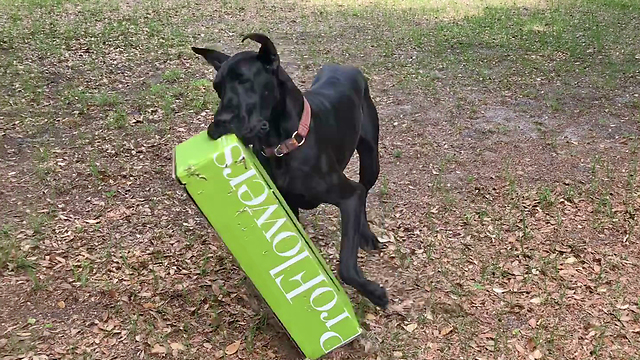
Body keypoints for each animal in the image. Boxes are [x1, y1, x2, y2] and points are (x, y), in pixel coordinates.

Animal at [192, 34, 388, 310]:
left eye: (245, 81)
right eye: (217, 87)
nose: (215, 127)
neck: (282, 144)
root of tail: (345, 67)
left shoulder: (348, 195)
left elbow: (346, 267)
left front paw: (375, 293)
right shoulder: (287, 206)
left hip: (371, 160)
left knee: (365, 190)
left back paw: (366, 234)